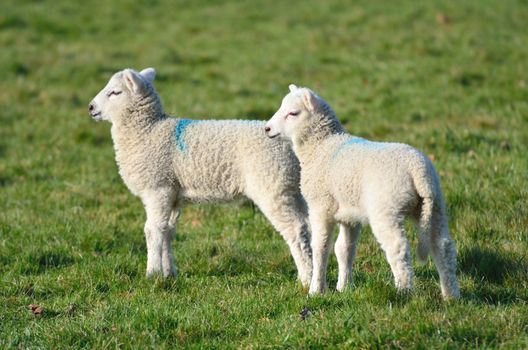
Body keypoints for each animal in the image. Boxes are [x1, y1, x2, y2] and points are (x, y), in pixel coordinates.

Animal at [266, 84, 460, 298]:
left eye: (293, 113)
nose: (267, 128)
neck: (322, 146)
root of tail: (418, 170)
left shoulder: (321, 206)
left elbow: (320, 248)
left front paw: (316, 290)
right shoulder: (350, 215)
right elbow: (344, 249)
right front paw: (344, 287)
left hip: (386, 209)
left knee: (398, 248)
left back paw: (403, 291)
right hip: (434, 206)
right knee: (443, 246)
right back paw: (451, 295)